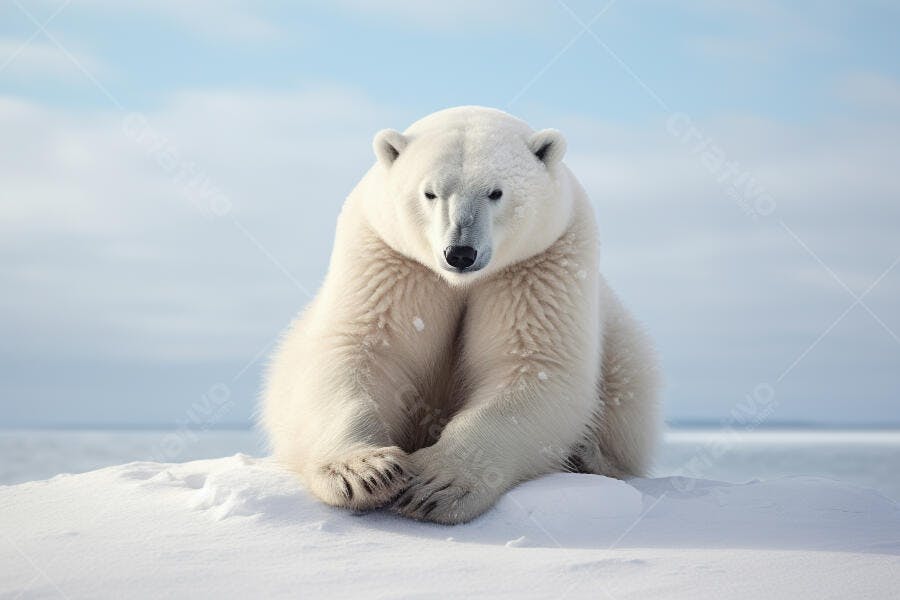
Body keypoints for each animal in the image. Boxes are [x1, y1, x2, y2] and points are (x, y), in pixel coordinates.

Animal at [261, 106, 660, 524]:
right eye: (430, 192)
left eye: (496, 192)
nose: (460, 253)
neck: (460, 282)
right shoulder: (389, 257)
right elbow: (361, 350)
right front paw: (365, 473)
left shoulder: (541, 261)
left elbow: (534, 367)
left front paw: (433, 485)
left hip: (625, 355)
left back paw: (587, 458)